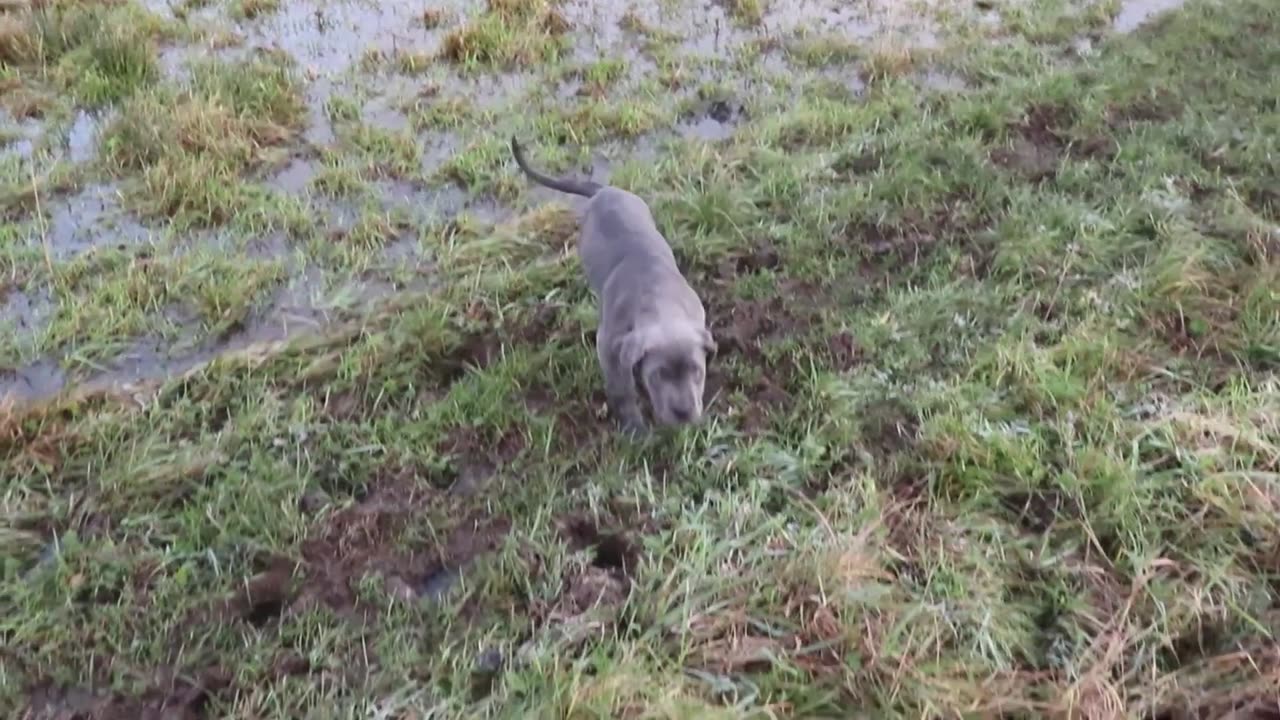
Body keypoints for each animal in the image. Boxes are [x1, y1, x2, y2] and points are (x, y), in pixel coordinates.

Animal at [509, 139, 716, 430]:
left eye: (697, 371)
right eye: (659, 375)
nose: (683, 413)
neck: (661, 300)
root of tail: (605, 190)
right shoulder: (608, 346)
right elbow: (622, 388)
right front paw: (634, 427)